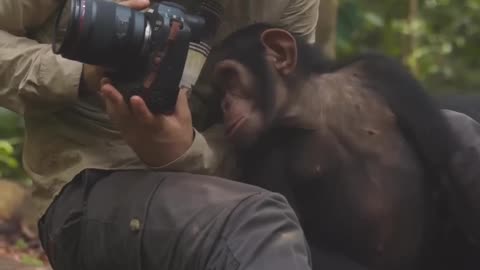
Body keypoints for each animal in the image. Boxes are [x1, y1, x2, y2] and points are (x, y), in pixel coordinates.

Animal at [211, 23, 464, 270]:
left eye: (230, 78)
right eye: (220, 90)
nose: (225, 104)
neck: (315, 110)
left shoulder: (384, 72)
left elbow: (443, 164)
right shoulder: (261, 156)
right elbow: (297, 236)